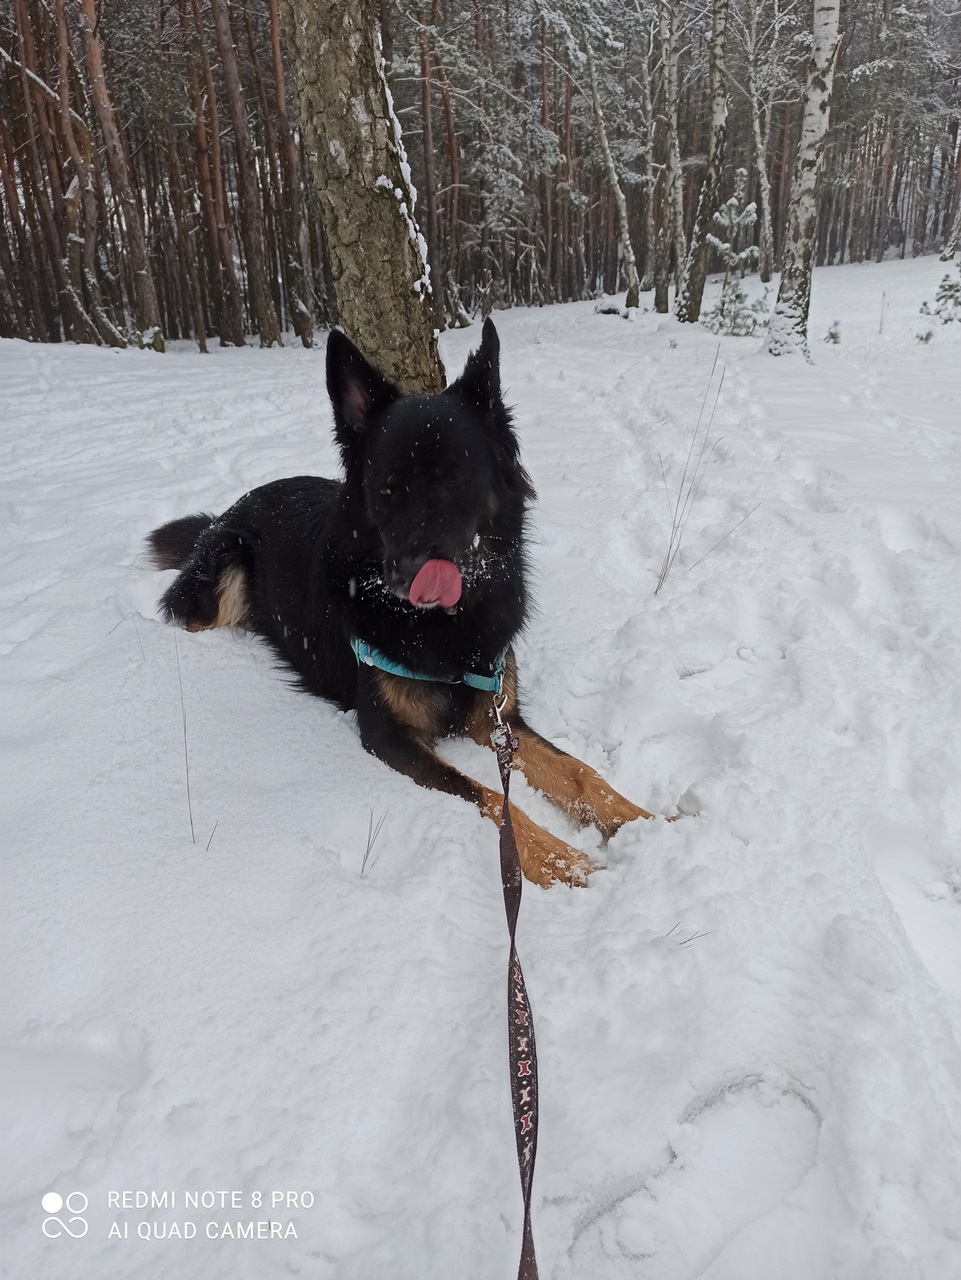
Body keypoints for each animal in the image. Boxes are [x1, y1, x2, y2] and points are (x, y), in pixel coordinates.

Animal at [148, 320, 653, 885]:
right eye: (386, 487)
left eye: (455, 477)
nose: (409, 572)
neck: (444, 628)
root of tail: (224, 511)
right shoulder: (389, 738)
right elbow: (487, 796)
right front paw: (563, 862)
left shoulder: (498, 720)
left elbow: (581, 772)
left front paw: (649, 824)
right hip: (225, 568)